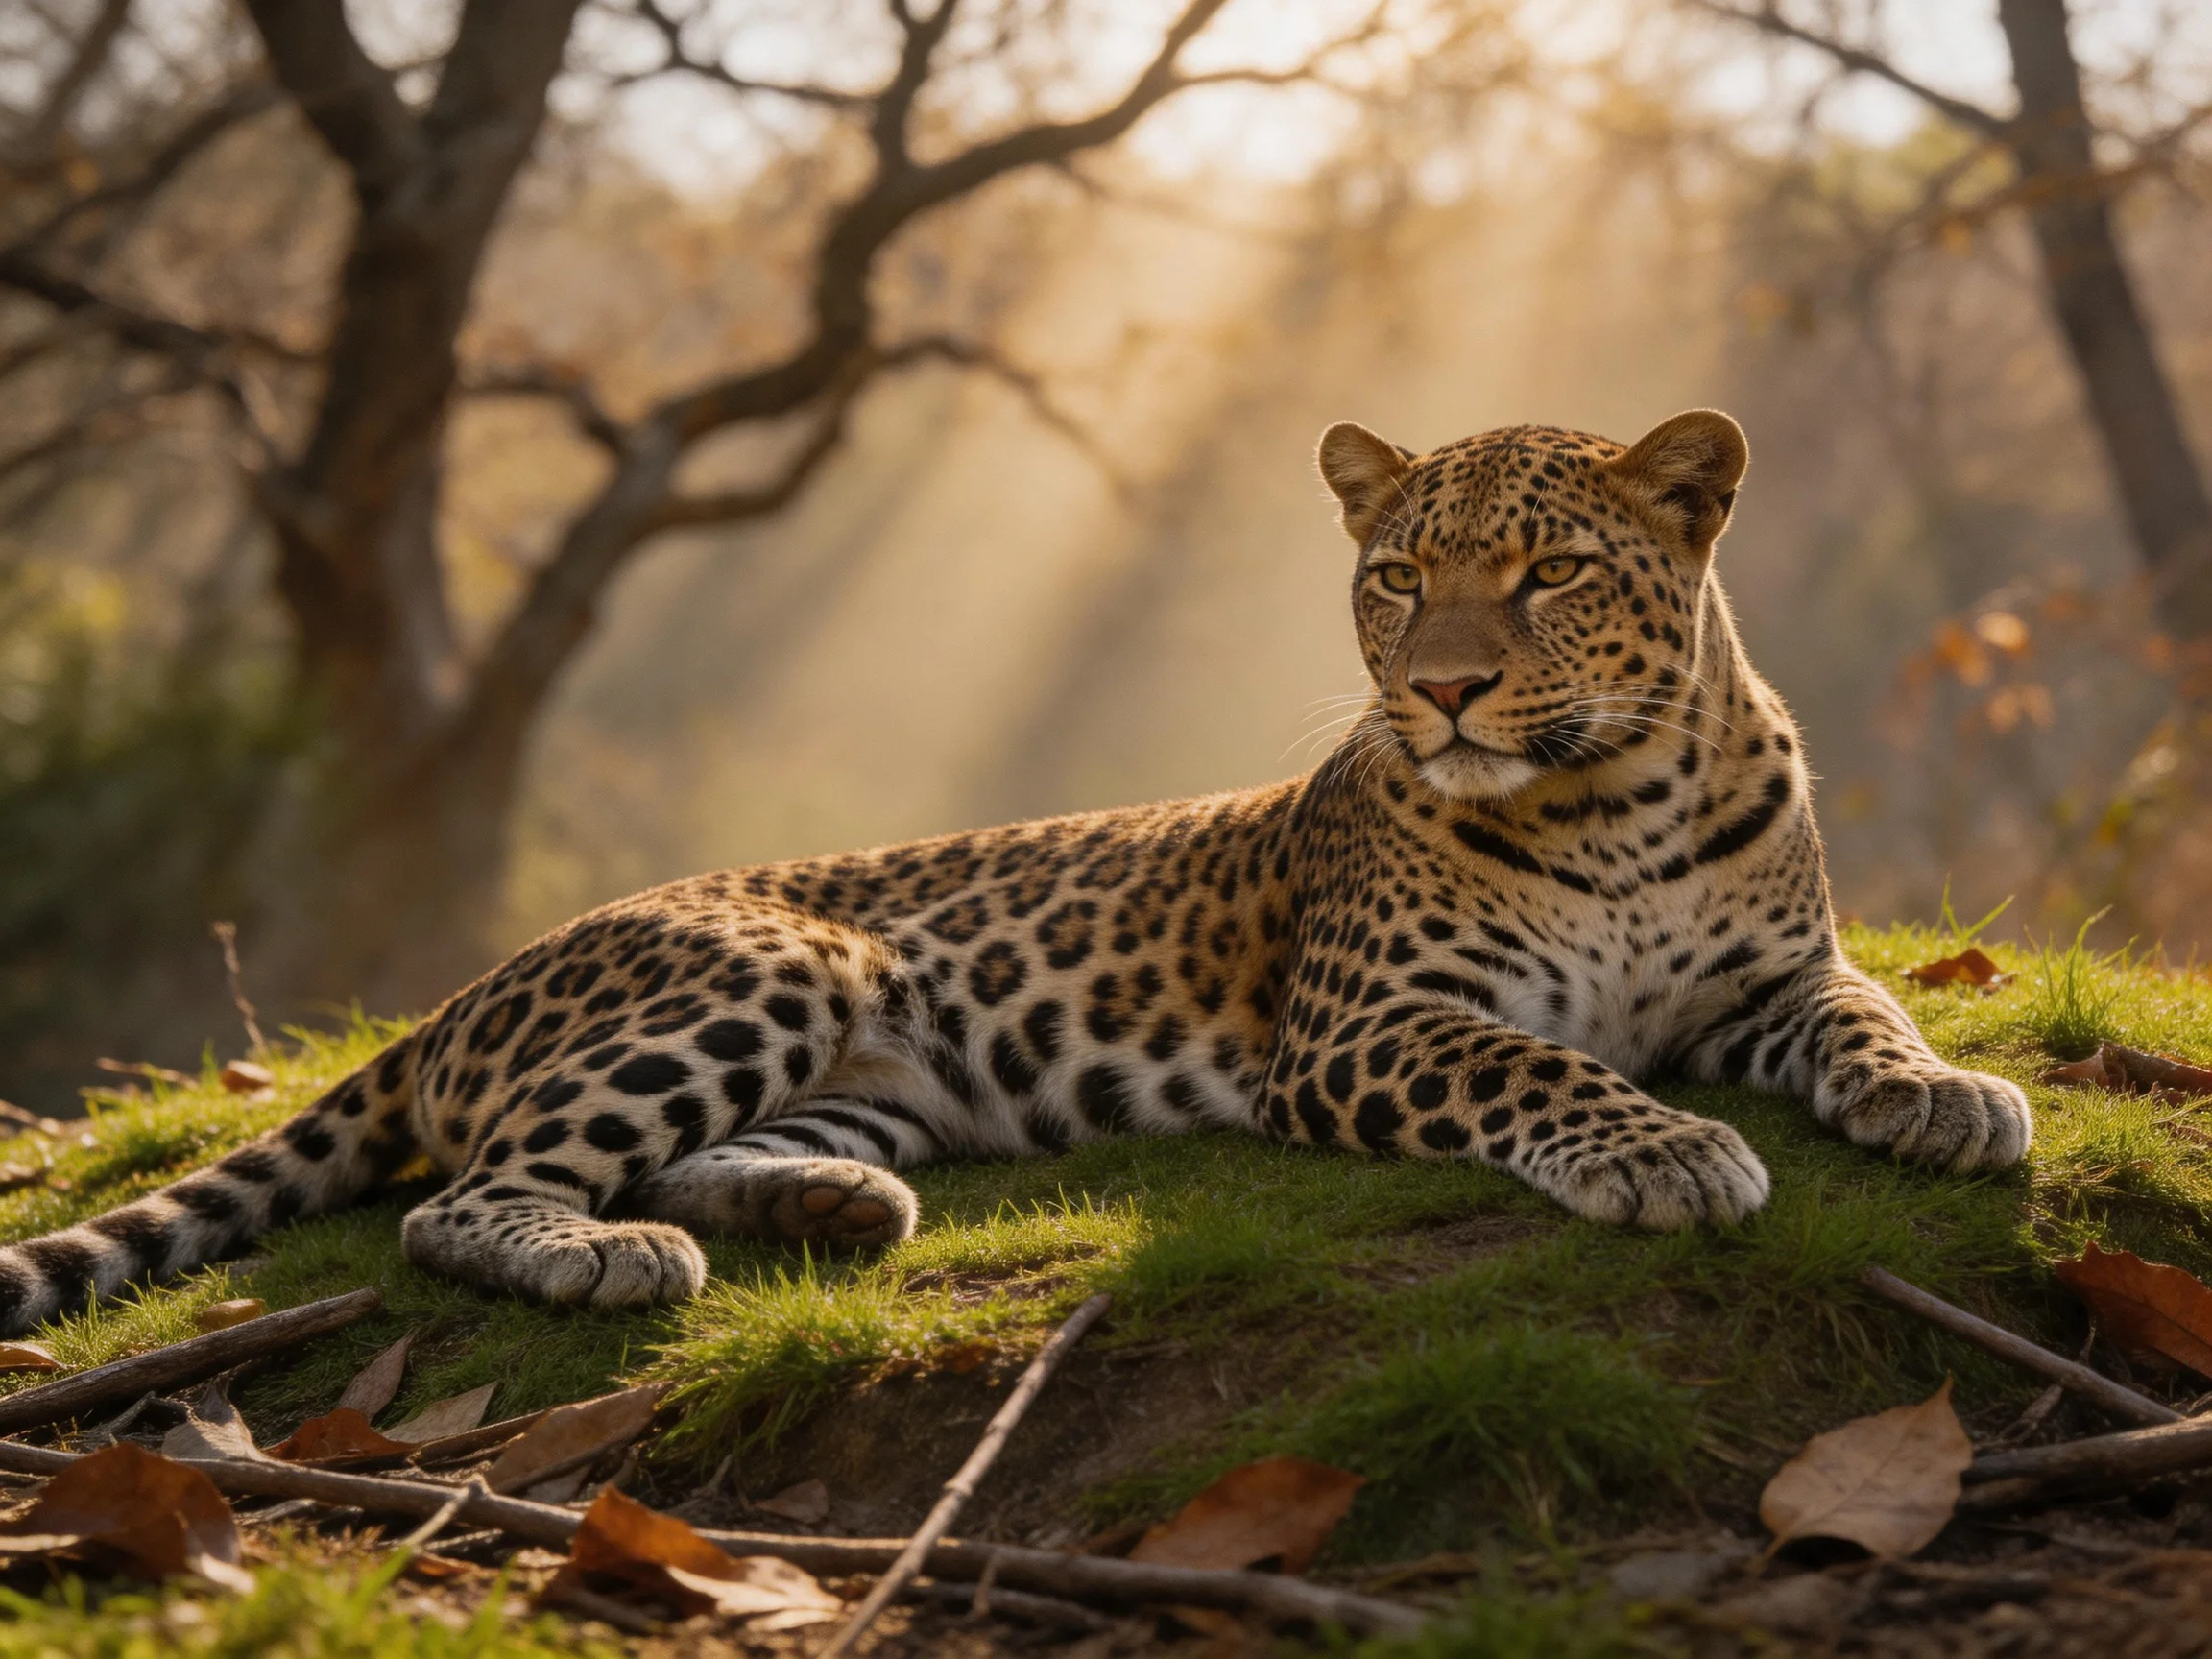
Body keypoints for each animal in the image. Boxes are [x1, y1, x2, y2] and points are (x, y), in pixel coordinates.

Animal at [0, 409, 2031, 1334]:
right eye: (1394, 576)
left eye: (1542, 574)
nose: (1441, 688)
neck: (1612, 801)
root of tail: (451, 998)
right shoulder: (1369, 1023)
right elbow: (1543, 1063)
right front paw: (1667, 1149)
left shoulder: (1766, 977)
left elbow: (1860, 1014)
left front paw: (1943, 1093)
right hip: (766, 965)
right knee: (476, 1194)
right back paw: (607, 1255)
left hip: (873, 1079)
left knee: (700, 1151)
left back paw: (829, 1213)